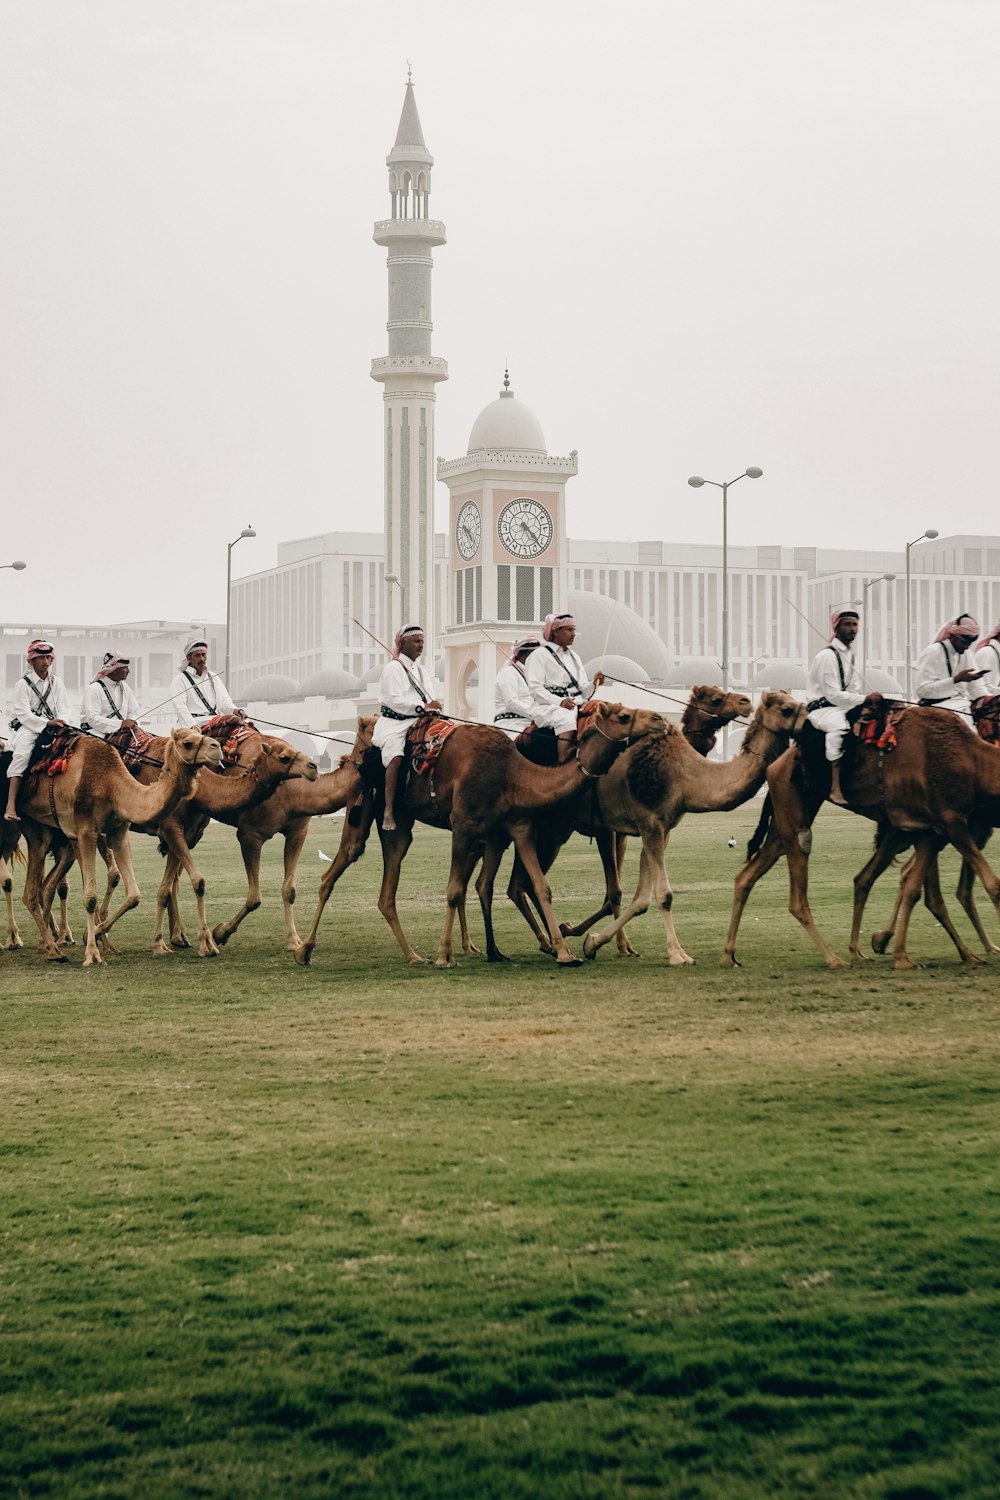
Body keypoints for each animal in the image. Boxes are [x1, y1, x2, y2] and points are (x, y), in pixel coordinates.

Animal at [16, 732, 223, 966]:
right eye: (188, 743)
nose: (217, 748)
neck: (111, 784)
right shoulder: (86, 830)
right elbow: (90, 897)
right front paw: (92, 953)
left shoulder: (118, 831)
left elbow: (133, 895)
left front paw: (98, 935)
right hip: (35, 830)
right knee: (31, 891)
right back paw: (49, 947)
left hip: (53, 834)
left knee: (43, 886)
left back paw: (50, 947)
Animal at [296, 705, 671, 972]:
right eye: (624, 715)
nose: (660, 720)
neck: (511, 772)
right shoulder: (464, 824)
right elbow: (454, 891)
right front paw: (445, 955)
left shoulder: (516, 827)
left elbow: (537, 886)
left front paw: (565, 951)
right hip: (364, 807)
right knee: (335, 870)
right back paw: (305, 950)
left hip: (401, 825)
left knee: (388, 891)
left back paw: (414, 955)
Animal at [509, 684, 749, 954]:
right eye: (716, 699)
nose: (745, 701)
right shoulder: (605, 828)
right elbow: (614, 892)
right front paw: (584, 934)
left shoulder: (626, 833)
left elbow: (613, 893)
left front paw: (620, 944)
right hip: (551, 832)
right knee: (523, 883)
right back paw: (551, 942)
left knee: (520, 884)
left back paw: (550, 940)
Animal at [566, 690, 809, 960]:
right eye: (787, 709)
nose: (746, 701)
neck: (681, 773)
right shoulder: (648, 823)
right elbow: (663, 894)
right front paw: (677, 953)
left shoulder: (661, 829)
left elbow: (641, 899)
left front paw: (593, 942)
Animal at [722, 705, 1000, 972]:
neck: (971, 760)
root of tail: (774, 766)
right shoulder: (951, 820)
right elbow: (992, 885)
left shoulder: (932, 829)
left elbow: (913, 889)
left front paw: (902, 955)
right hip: (793, 807)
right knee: (798, 890)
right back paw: (834, 959)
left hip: (791, 814)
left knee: (748, 875)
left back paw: (730, 956)